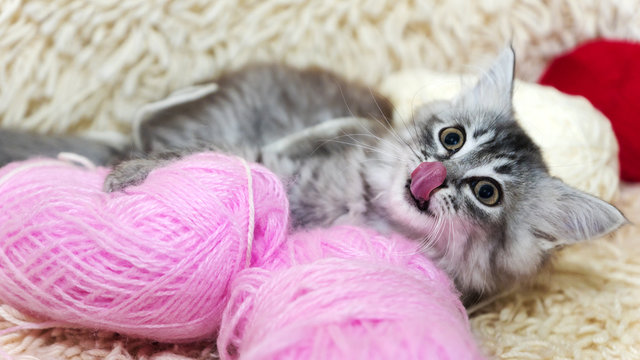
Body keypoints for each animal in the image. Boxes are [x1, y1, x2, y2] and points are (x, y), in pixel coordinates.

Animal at [2, 47, 628, 302]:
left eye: (486, 191)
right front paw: (132, 176)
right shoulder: (273, 154)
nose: (434, 172)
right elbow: (229, 158)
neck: (360, 205)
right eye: (452, 138)